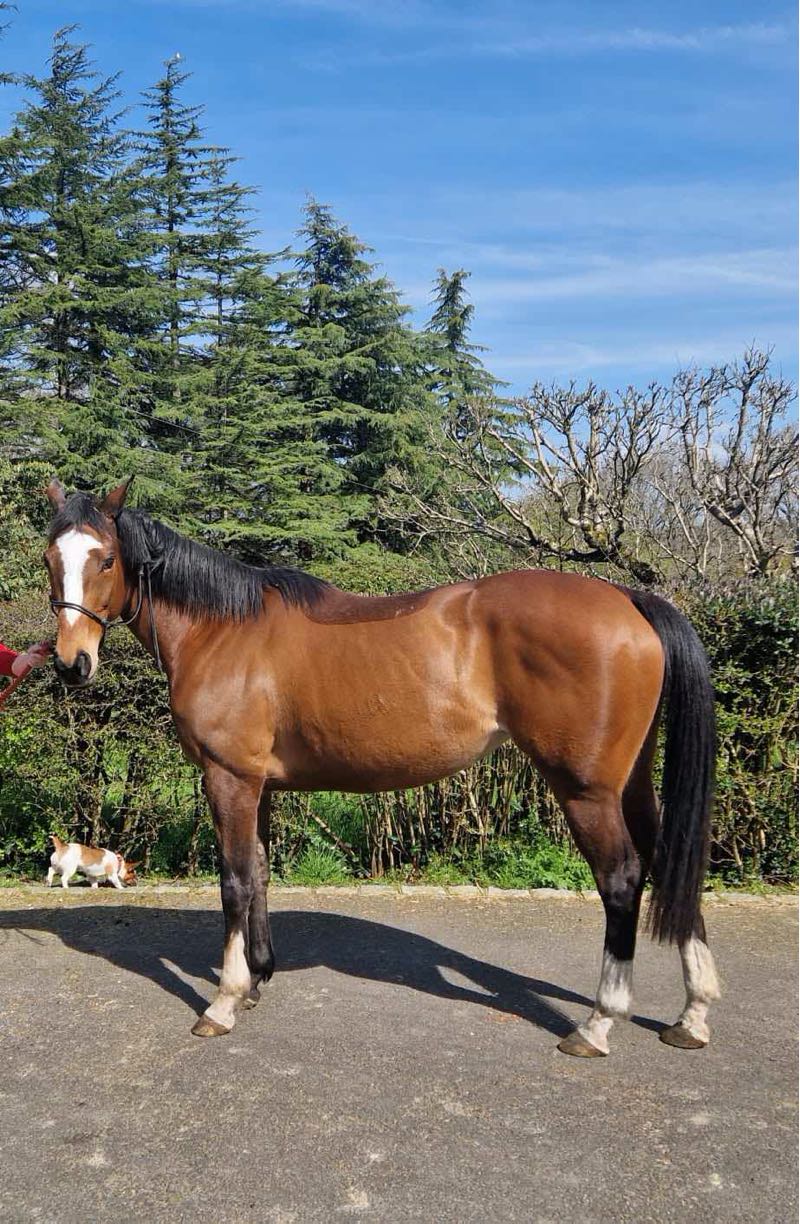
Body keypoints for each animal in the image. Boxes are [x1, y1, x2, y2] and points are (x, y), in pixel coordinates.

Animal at [42, 477, 720, 1056]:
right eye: (51, 557)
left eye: (106, 559)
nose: (72, 663)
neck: (223, 631)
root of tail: (629, 599)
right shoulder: (261, 787)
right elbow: (259, 874)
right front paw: (258, 979)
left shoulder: (228, 779)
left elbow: (234, 882)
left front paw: (225, 1001)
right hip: (630, 783)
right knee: (667, 859)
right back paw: (692, 1015)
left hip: (585, 790)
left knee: (622, 879)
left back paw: (599, 1023)